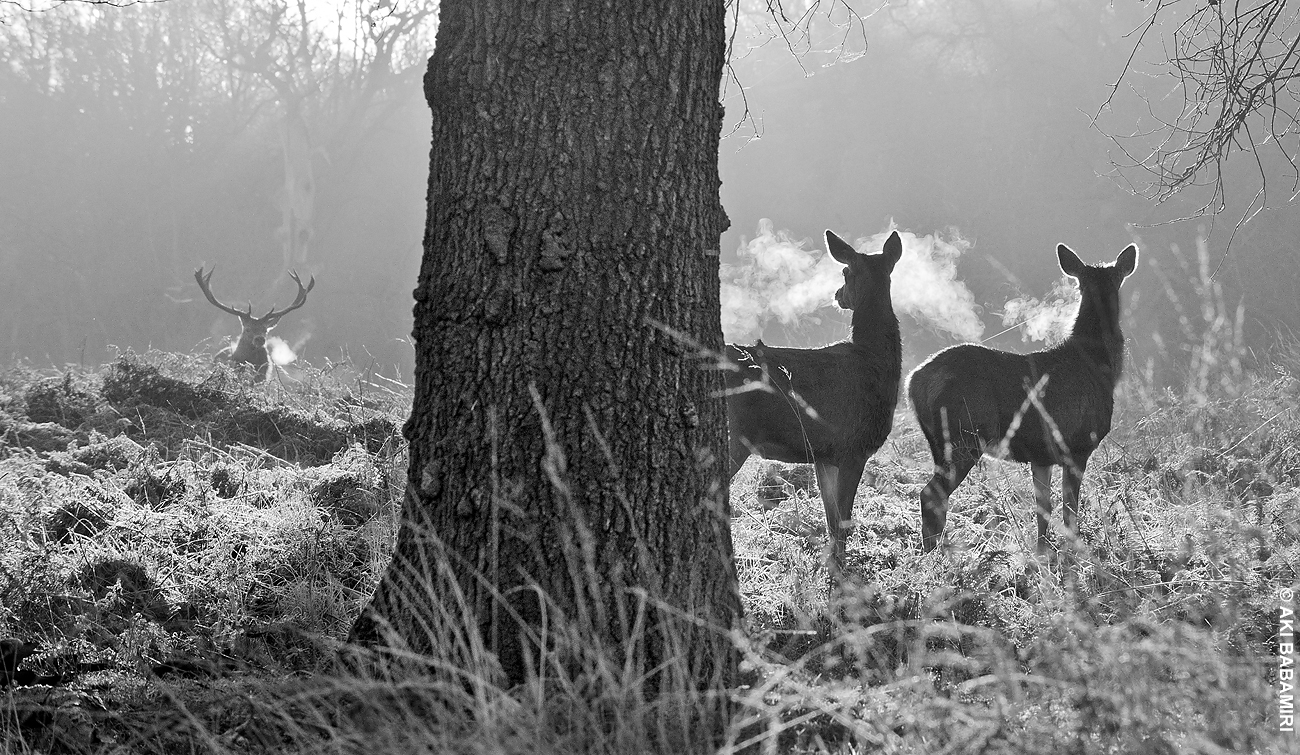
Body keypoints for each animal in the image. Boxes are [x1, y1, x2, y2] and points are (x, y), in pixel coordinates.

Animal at [722, 230, 904, 582]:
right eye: (845, 271)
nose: (837, 294)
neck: (874, 358)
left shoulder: (824, 454)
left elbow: (832, 519)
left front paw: (831, 567)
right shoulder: (854, 446)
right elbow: (844, 520)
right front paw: (843, 578)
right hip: (734, 434)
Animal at [904, 241, 1138, 553]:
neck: (1097, 364)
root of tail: (912, 382)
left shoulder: (1041, 455)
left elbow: (1043, 510)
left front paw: (1041, 553)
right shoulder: (1078, 446)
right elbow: (1069, 511)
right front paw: (1072, 553)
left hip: (944, 443)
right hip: (964, 434)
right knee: (931, 494)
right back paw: (936, 555)